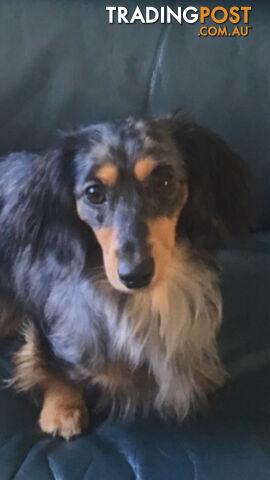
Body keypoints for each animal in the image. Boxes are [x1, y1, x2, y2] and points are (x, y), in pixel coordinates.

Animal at [0, 112, 253, 438]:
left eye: (164, 181)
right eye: (94, 193)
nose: (135, 276)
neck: (145, 301)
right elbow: (54, 360)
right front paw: (63, 406)